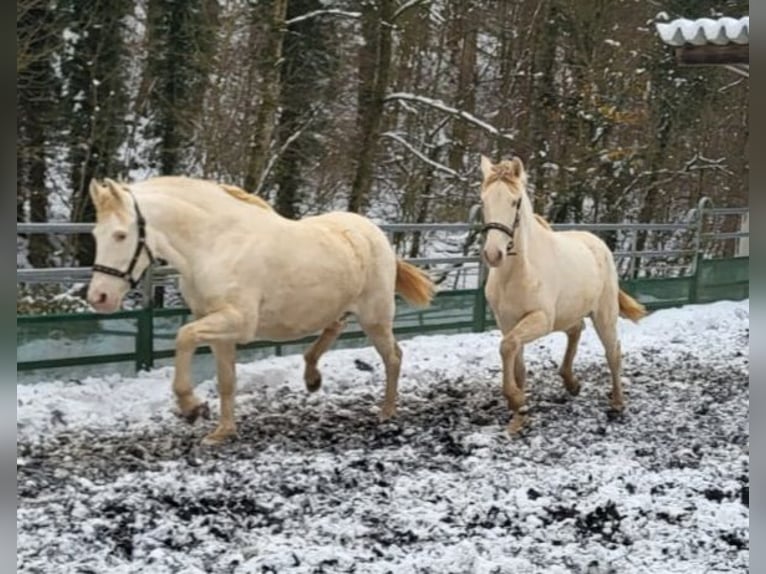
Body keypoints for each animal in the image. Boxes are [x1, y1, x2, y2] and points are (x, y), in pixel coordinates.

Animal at [86, 178, 436, 448]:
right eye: (95, 235)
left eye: (121, 235)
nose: (99, 297)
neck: (215, 244)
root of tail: (374, 232)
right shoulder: (217, 327)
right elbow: (226, 380)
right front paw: (222, 432)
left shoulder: (238, 322)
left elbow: (183, 337)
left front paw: (191, 407)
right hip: (340, 306)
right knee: (334, 329)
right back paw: (312, 378)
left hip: (375, 317)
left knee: (393, 357)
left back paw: (386, 412)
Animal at [480, 155, 648, 434]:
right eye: (484, 201)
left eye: (515, 202)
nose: (494, 254)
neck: (519, 272)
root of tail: (597, 243)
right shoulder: (506, 322)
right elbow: (516, 362)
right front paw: (519, 416)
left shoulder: (541, 319)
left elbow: (507, 347)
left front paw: (516, 400)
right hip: (570, 311)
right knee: (576, 329)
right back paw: (571, 382)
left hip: (603, 314)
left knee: (612, 351)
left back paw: (617, 403)